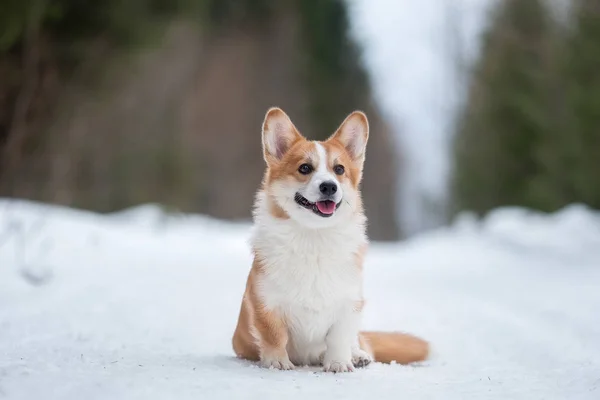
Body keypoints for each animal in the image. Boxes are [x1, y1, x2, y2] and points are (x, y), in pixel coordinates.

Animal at [232, 107, 428, 372]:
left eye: (339, 169)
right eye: (305, 168)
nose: (329, 187)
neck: (315, 236)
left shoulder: (349, 303)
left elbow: (339, 337)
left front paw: (339, 364)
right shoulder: (266, 303)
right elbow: (274, 336)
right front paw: (277, 362)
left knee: (359, 341)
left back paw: (358, 356)